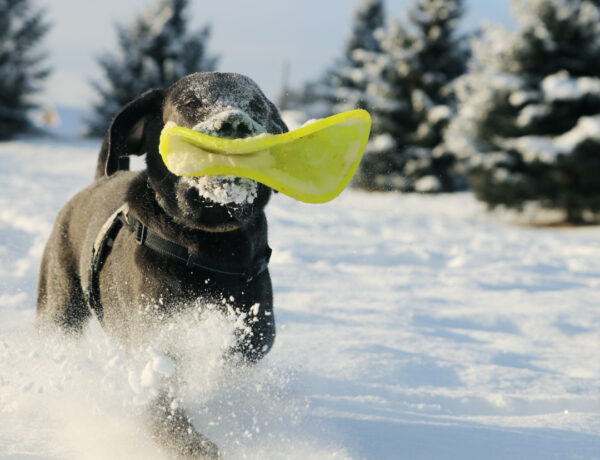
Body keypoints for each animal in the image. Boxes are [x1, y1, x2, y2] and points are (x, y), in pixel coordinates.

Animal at [35, 72, 288, 456]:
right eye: (191, 103)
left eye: (256, 105)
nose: (234, 123)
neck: (209, 245)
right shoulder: (153, 333)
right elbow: (162, 402)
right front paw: (191, 444)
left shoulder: (257, 314)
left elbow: (248, 346)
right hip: (59, 306)